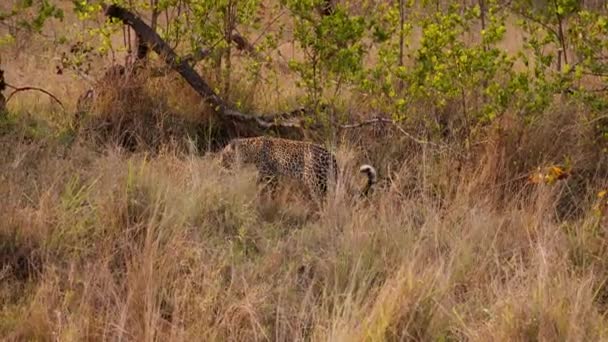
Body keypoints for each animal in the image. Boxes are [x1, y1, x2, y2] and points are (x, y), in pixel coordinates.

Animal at [218, 136, 376, 199]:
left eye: (224, 155)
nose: (219, 164)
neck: (251, 149)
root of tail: (332, 158)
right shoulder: (269, 175)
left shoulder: (270, 176)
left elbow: (267, 190)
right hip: (325, 181)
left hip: (315, 182)